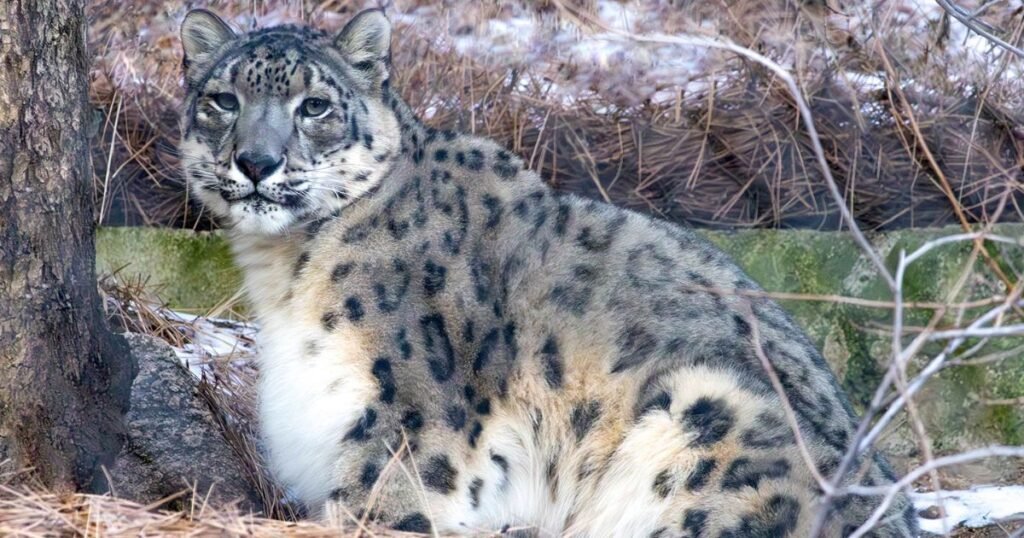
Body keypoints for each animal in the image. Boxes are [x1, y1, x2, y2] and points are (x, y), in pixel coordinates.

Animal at [178, 7, 919, 537]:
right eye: (223, 100)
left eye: (314, 106)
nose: (256, 160)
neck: (285, 275)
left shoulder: (408, 422)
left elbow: (383, 502)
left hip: (712, 412)